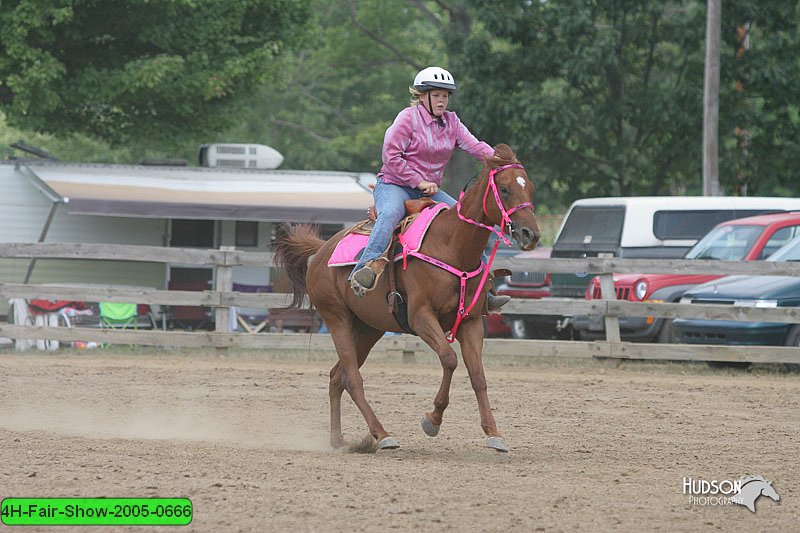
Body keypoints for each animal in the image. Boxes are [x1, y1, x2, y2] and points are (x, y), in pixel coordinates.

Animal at [272, 143, 540, 450]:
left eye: (530, 188)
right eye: (505, 189)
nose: (531, 234)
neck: (451, 246)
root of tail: (321, 250)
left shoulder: (471, 323)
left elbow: (478, 376)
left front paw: (494, 433)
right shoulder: (421, 317)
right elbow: (449, 359)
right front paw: (432, 420)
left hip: (368, 328)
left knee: (336, 377)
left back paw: (339, 439)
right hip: (336, 318)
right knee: (352, 378)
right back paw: (382, 434)